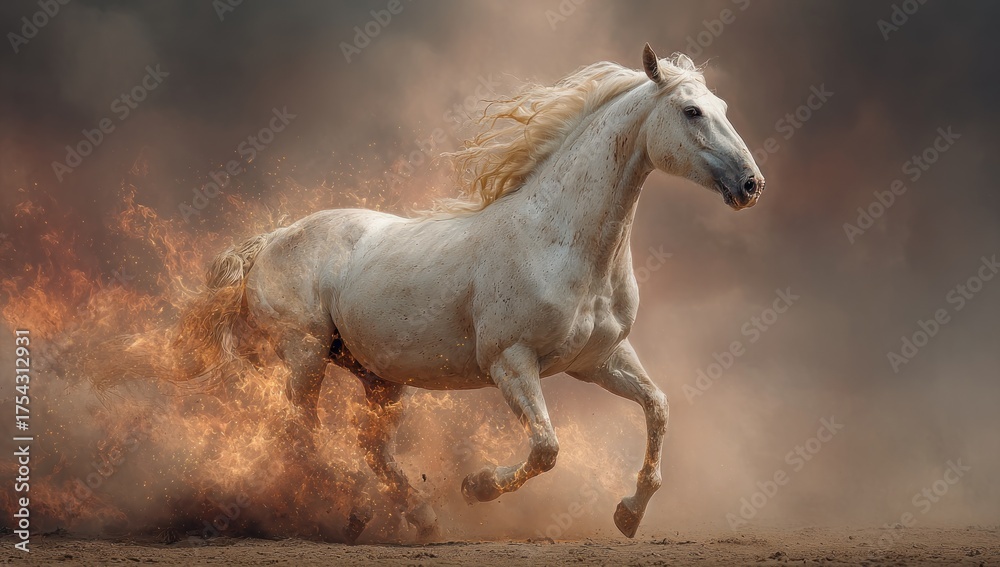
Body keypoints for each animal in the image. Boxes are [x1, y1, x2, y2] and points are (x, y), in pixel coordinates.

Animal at [180, 43, 764, 541]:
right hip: (305, 355)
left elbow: (658, 408)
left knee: (371, 448)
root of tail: (273, 238)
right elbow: (546, 447)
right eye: (691, 111)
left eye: (722, 106)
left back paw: (417, 518)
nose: (751, 184)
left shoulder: (599, 359)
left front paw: (628, 514)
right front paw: (476, 486)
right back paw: (355, 509)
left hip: (379, 377)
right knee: (299, 434)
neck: (560, 241)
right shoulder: (511, 361)